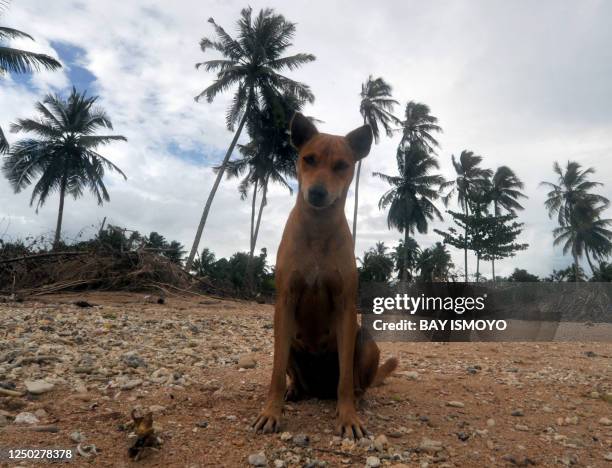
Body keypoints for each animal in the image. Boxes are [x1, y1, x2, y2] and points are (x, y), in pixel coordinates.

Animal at [252, 113, 396, 438]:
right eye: (309, 159)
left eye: (341, 165)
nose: (317, 193)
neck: (318, 228)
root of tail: (318, 390)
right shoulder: (285, 302)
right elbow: (275, 372)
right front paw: (271, 411)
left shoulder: (345, 306)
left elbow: (345, 378)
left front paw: (348, 416)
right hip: (291, 341)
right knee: (293, 374)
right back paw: (294, 391)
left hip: (366, 342)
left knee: (356, 382)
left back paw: (356, 399)